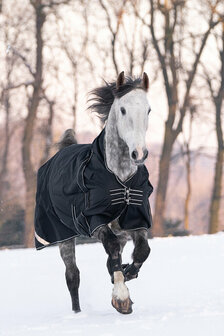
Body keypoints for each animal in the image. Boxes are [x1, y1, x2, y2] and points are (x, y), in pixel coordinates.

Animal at [35, 71, 153, 316]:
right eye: (123, 109)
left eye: (148, 110)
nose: (139, 153)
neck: (119, 177)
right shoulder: (94, 220)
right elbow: (112, 247)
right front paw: (121, 299)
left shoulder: (135, 220)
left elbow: (142, 251)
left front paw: (127, 273)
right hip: (64, 236)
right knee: (72, 276)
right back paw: (77, 313)